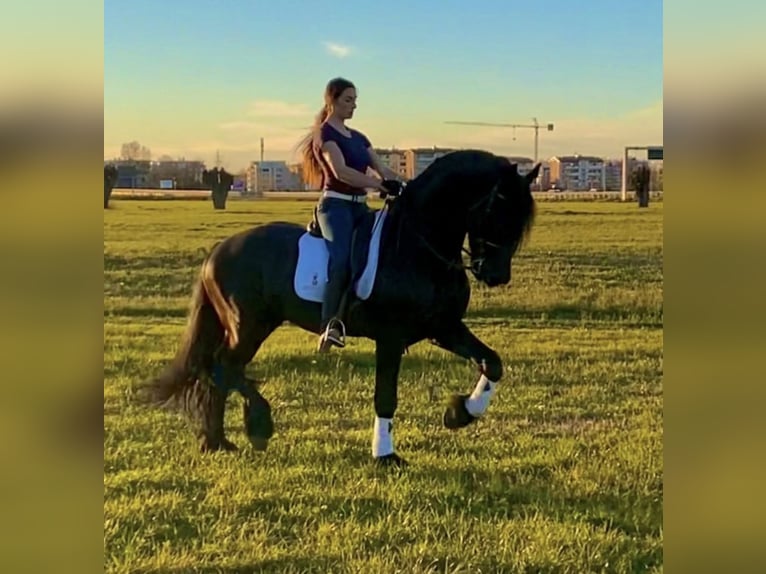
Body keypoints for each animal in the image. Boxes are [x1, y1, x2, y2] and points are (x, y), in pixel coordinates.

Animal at [138, 150, 539, 467]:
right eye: (497, 208)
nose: (495, 274)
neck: (418, 245)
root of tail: (218, 251)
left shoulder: (443, 326)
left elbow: (492, 362)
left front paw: (460, 413)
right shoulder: (391, 337)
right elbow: (385, 397)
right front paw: (385, 455)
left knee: (219, 371)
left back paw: (217, 442)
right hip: (248, 325)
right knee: (223, 366)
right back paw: (256, 428)